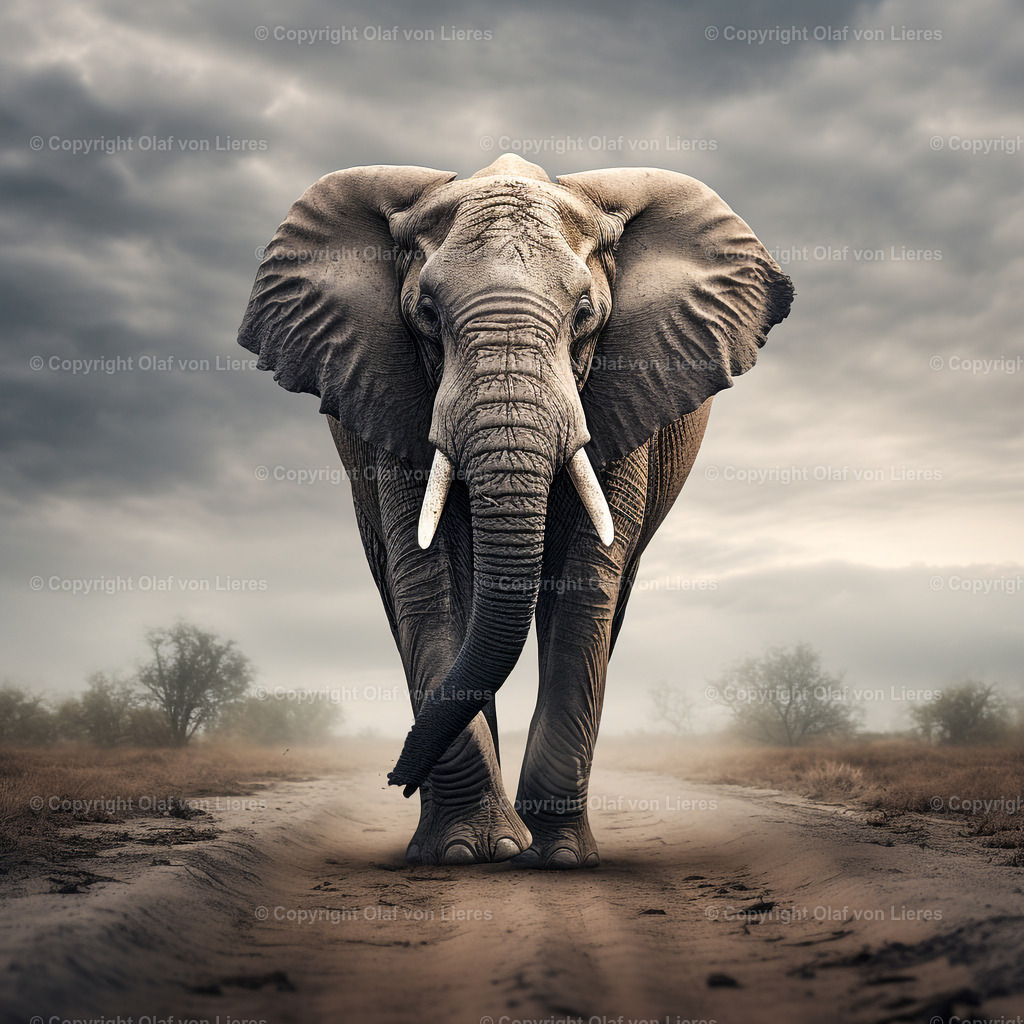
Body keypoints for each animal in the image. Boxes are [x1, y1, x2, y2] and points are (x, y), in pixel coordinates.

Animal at [238, 153, 793, 869]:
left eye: (585, 312)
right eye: (425, 312)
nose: (394, 777)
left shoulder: (623, 392)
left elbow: (585, 587)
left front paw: (557, 859)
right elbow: (428, 579)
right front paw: (465, 853)